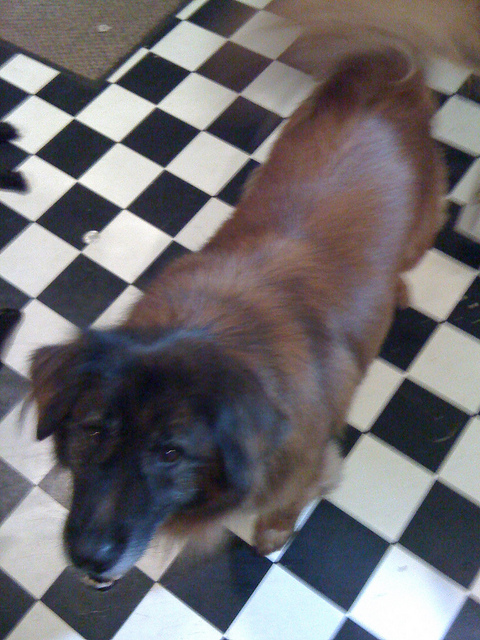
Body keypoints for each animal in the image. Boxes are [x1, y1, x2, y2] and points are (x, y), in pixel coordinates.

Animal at [29, 0, 478, 589]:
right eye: (91, 429)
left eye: (170, 454)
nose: (89, 557)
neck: (213, 328)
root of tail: (378, 66)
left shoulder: (308, 464)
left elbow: (286, 504)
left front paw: (272, 533)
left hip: (423, 224)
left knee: (409, 254)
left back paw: (399, 286)